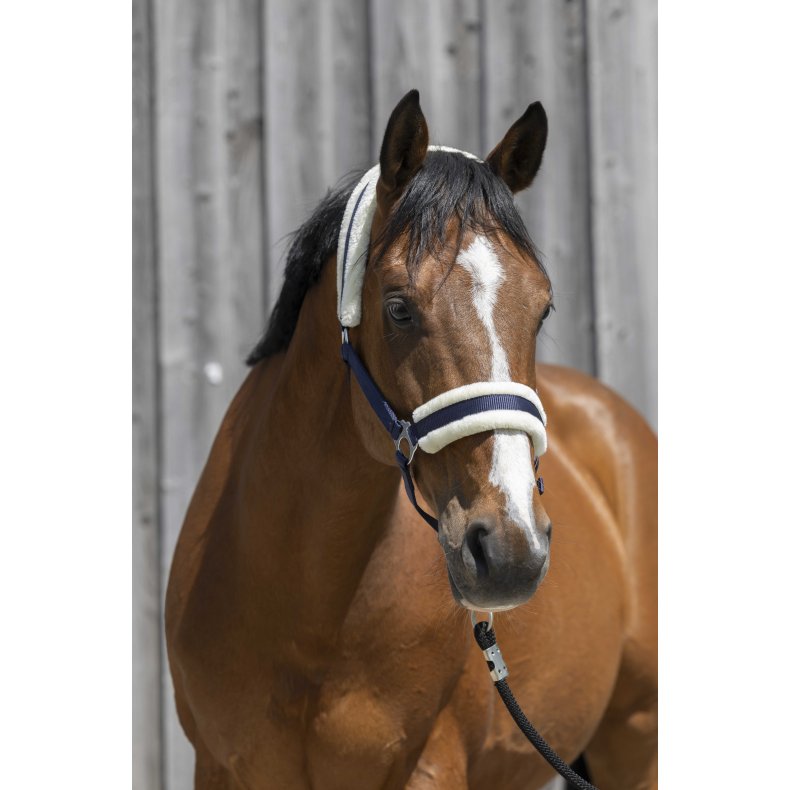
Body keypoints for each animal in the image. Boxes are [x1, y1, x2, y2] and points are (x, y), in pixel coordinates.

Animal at [165, 89, 657, 790]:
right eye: (398, 306)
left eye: (543, 309)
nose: (511, 549)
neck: (304, 616)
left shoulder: (429, 766)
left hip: (637, 736)